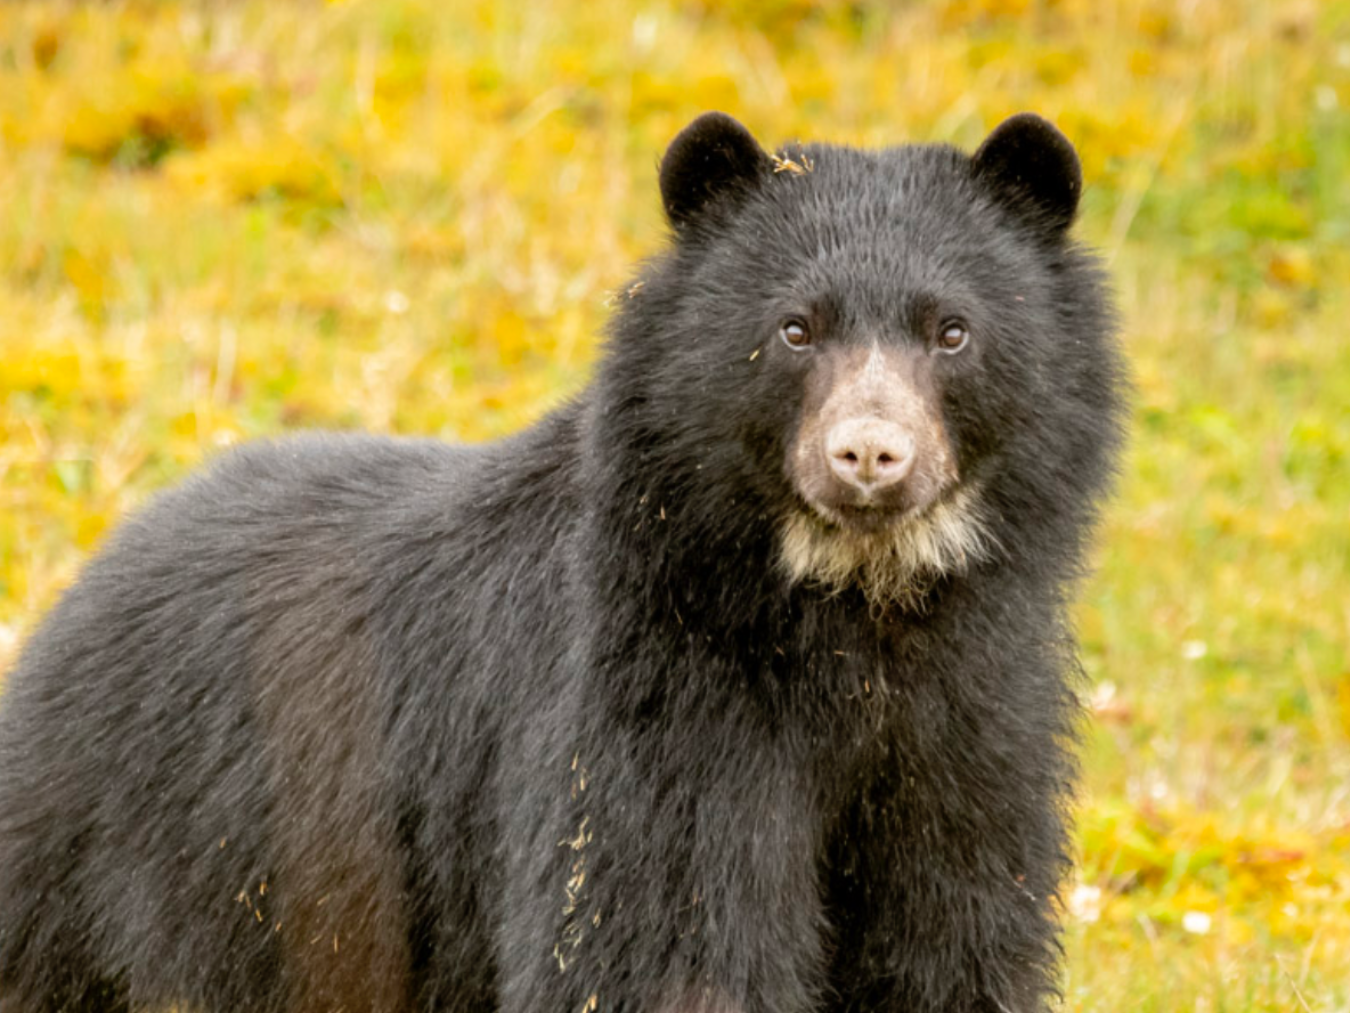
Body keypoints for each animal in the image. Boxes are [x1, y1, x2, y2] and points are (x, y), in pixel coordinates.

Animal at [0, 111, 1125, 1013]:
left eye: (953, 331)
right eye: (795, 330)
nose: (869, 456)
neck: (853, 611)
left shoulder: (971, 729)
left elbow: (951, 938)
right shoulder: (652, 709)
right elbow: (654, 939)